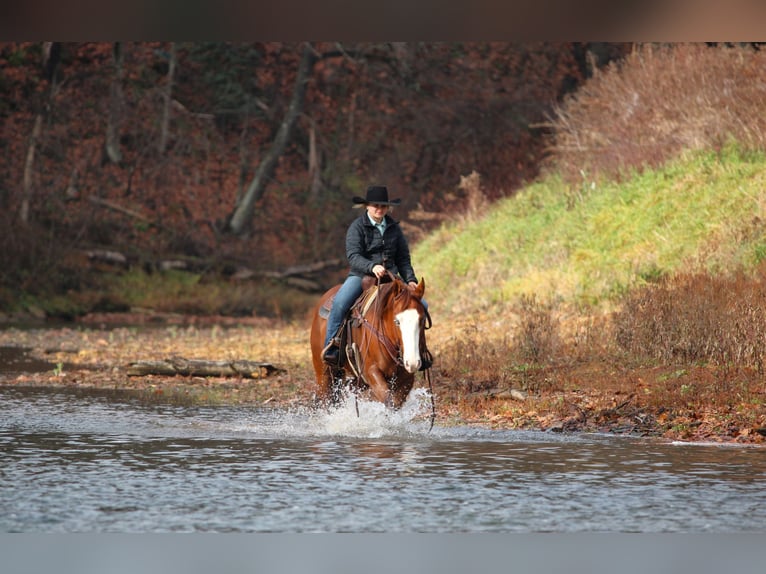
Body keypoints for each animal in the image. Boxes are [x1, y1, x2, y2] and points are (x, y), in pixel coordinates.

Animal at [310, 273, 433, 415]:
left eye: (422, 319)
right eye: (397, 321)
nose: (412, 362)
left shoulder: (406, 378)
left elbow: (395, 404)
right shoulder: (371, 371)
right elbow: (388, 401)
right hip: (323, 373)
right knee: (327, 399)